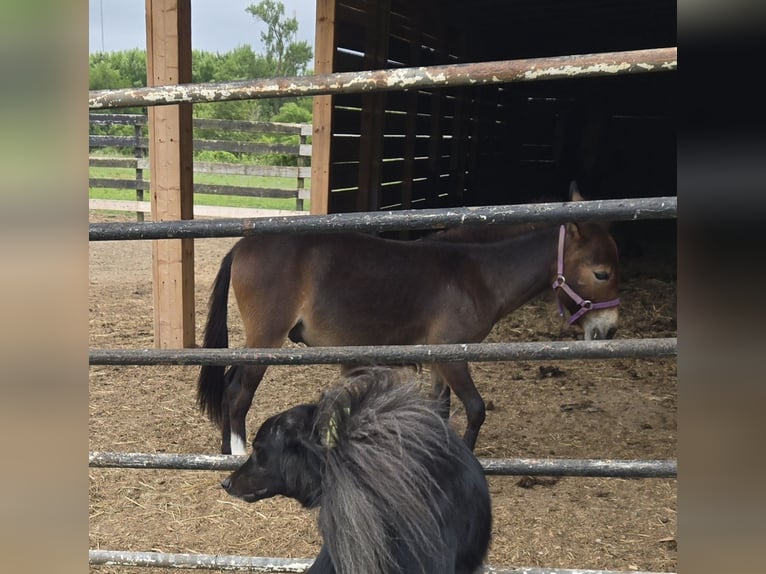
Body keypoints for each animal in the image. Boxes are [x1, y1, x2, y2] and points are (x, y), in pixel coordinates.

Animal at [198, 187, 620, 454]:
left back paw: (224, 450)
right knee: (239, 393)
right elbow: (475, 409)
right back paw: (238, 451)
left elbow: (440, 410)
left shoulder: (438, 361)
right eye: (601, 273)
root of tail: (243, 244)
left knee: (230, 386)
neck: (476, 273)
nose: (609, 328)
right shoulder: (453, 356)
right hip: (266, 340)